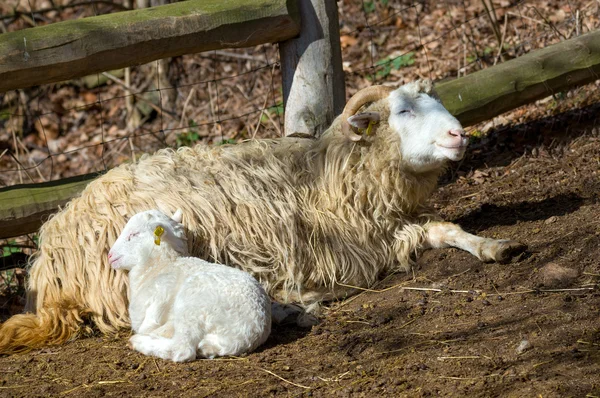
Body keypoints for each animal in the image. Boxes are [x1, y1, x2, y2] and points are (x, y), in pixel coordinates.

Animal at [108, 210, 272, 362]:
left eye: (134, 234)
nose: (110, 255)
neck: (161, 265)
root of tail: (251, 329)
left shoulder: (159, 298)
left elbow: (148, 326)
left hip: (193, 304)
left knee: (182, 349)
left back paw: (139, 342)